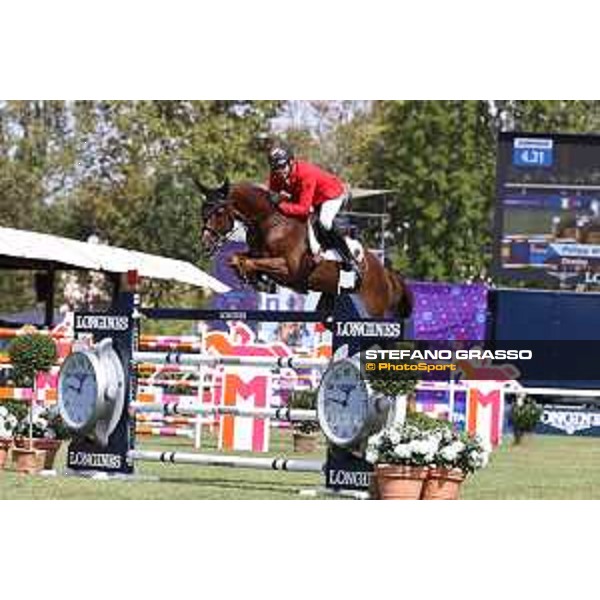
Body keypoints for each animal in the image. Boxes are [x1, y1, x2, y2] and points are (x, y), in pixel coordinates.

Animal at [197, 177, 412, 318]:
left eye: (219, 211)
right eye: (203, 211)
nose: (205, 244)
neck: (270, 222)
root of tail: (385, 273)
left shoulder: (287, 269)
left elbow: (251, 262)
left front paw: (260, 281)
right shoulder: (256, 253)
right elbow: (236, 258)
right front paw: (255, 279)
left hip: (371, 308)